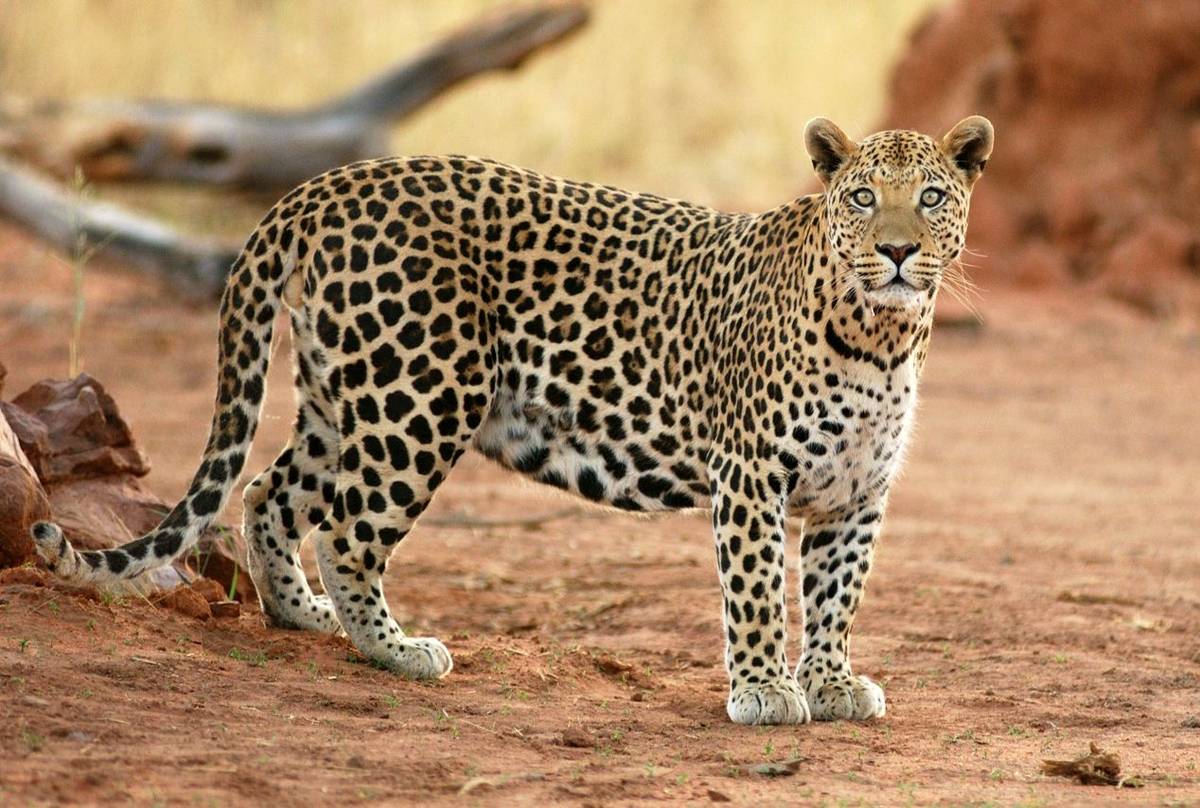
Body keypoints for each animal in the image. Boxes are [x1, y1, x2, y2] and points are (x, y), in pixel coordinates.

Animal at [32, 115, 994, 726]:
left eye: (933, 198)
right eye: (864, 198)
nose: (898, 251)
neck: (881, 334)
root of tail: (326, 184)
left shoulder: (857, 493)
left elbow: (837, 595)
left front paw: (831, 685)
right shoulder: (753, 476)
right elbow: (757, 588)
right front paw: (763, 692)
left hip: (347, 395)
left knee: (271, 489)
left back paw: (302, 615)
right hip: (420, 395)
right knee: (347, 528)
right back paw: (393, 648)